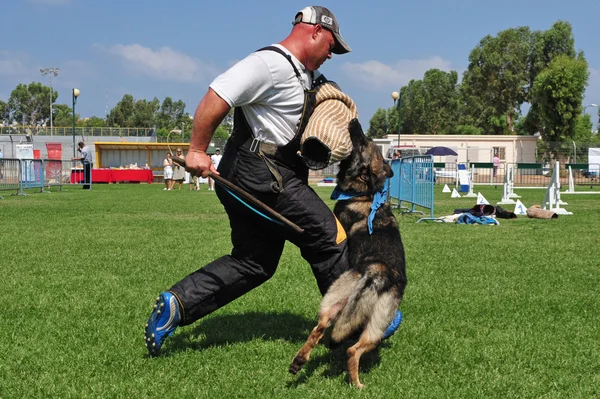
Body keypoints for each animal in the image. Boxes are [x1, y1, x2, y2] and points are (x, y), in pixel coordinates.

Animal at [290, 120, 408, 390]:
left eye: (362, 142)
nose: (354, 122)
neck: (367, 193)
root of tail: (377, 271)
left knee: (336, 339)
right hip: (369, 319)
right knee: (337, 340)